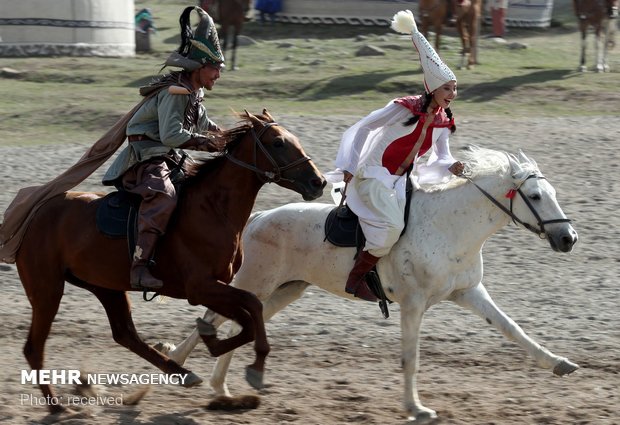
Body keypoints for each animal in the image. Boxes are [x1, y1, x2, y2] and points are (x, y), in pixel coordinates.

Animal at [13, 110, 324, 414]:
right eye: (278, 143)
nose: (317, 182)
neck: (213, 209)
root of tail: (34, 212)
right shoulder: (201, 287)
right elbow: (250, 312)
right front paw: (246, 362)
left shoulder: (217, 287)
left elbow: (247, 314)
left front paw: (217, 344)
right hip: (47, 289)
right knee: (34, 347)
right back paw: (55, 406)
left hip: (106, 287)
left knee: (125, 334)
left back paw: (181, 373)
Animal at [157, 147, 580, 420]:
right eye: (536, 195)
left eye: (553, 193)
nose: (568, 239)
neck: (449, 227)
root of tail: (259, 218)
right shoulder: (413, 304)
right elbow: (411, 358)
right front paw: (416, 408)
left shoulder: (469, 293)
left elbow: (513, 329)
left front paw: (559, 363)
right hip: (258, 283)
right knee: (211, 319)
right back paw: (179, 365)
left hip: (283, 291)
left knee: (234, 325)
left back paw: (221, 388)